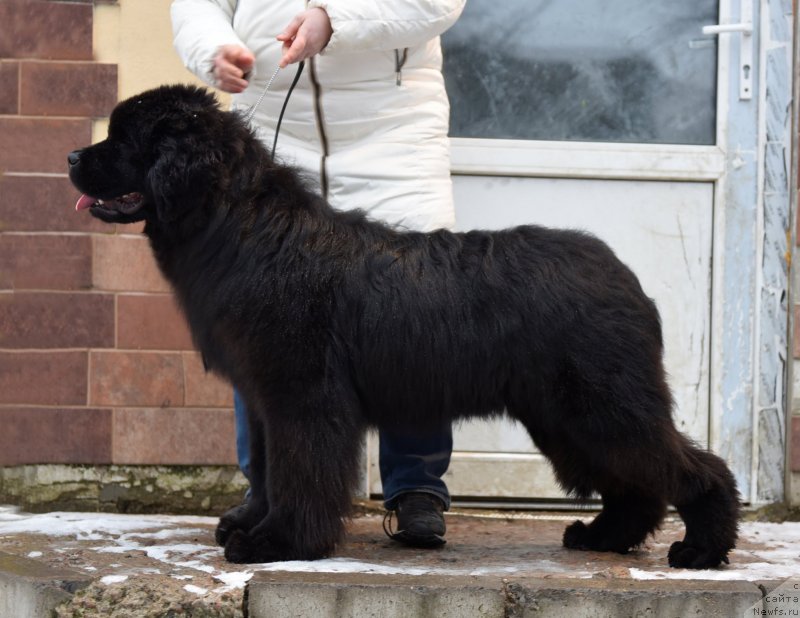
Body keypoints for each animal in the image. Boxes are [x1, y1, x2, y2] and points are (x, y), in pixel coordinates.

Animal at [67, 84, 736, 564]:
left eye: (123, 138)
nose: (72, 155)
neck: (240, 224)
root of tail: (623, 274)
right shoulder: (262, 399)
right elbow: (269, 472)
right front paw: (254, 524)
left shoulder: (303, 396)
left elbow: (300, 472)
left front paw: (278, 544)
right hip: (566, 415)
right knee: (636, 482)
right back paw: (605, 538)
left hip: (599, 403)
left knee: (690, 469)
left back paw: (700, 549)